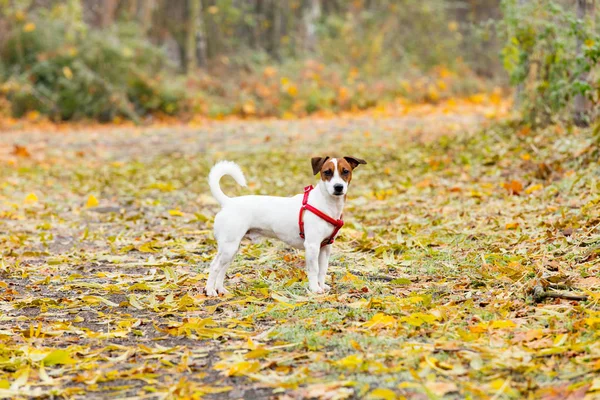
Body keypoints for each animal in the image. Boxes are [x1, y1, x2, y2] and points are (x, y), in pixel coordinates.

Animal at [205, 156, 366, 296]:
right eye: (327, 172)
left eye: (345, 171)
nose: (338, 187)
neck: (326, 204)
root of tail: (228, 202)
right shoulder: (312, 246)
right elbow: (314, 269)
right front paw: (315, 288)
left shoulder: (325, 247)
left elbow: (322, 270)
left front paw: (321, 285)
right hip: (229, 247)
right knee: (214, 267)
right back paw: (210, 291)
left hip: (231, 249)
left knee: (222, 268)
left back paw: (220, 289)